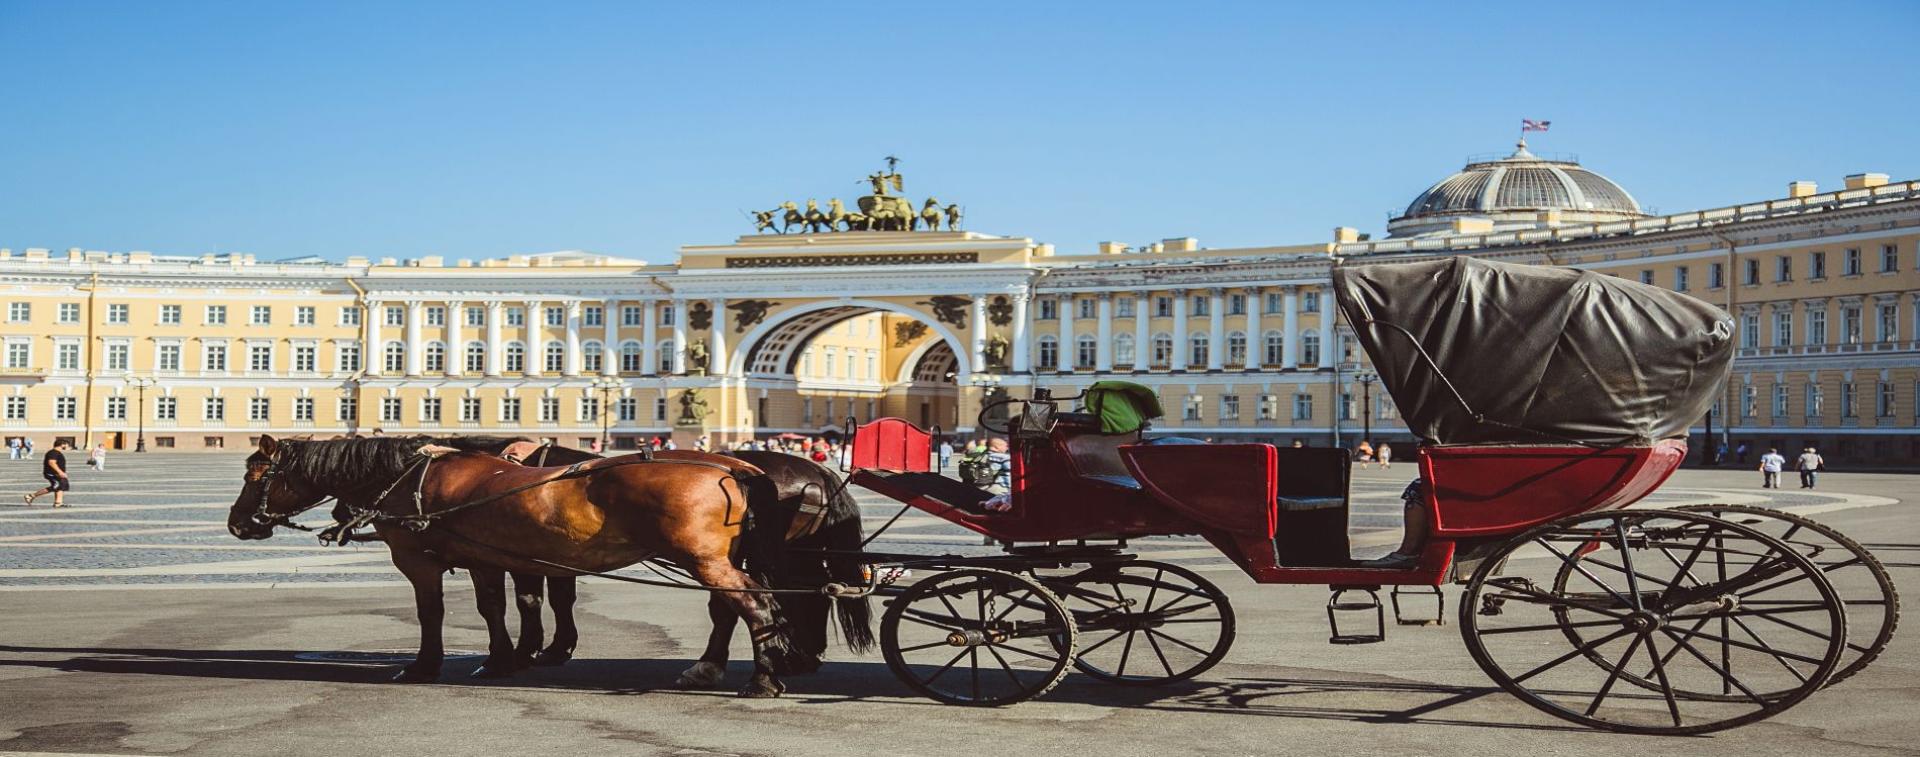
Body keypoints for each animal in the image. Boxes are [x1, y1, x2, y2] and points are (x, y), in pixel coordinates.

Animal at [222, 434, 833, 695]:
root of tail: (733, 466)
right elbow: (501, 607)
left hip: (709, 562)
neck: (417, 479)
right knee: (757, 607)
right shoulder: (489, 558)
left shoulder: (420, 561)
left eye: (257, 474)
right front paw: (505, 659)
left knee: (756, 607)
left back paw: (763, 680)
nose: (236, 523)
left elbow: (433, 614)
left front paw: (424, 666)